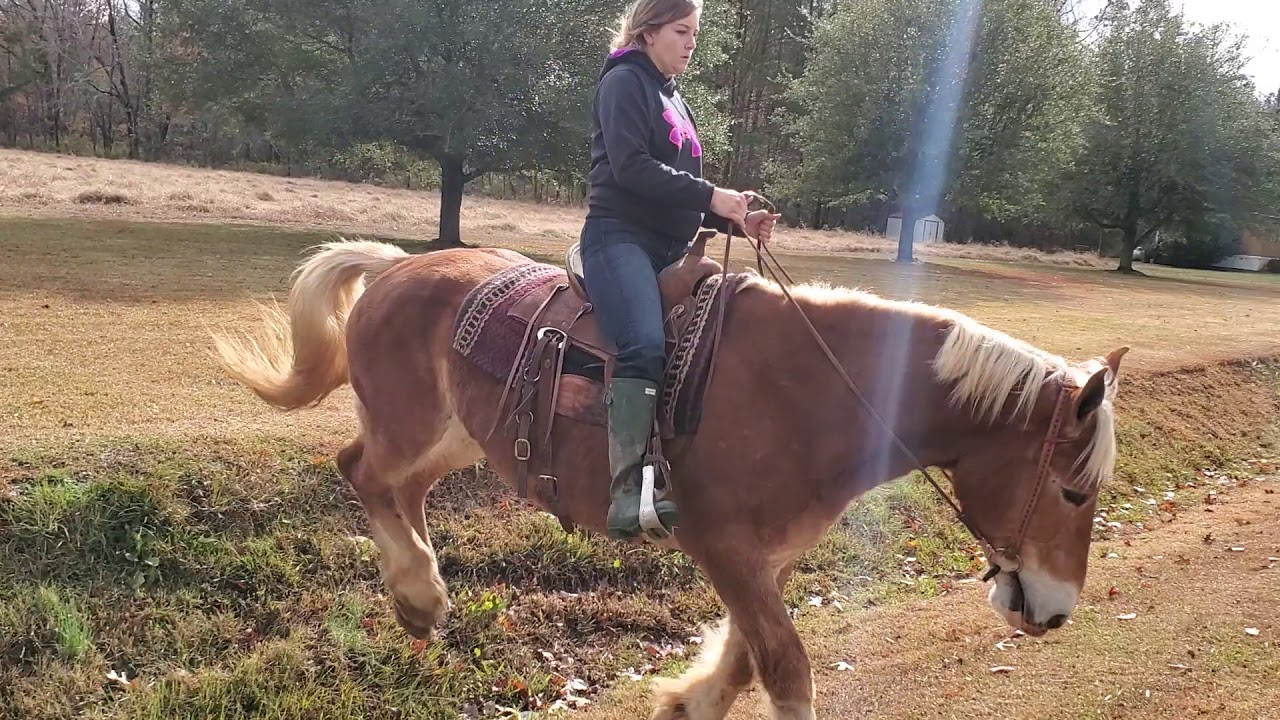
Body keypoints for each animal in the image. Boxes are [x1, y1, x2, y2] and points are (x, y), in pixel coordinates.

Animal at [213, 238, 1126, 720]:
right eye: (1074, 491)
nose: (1056, 611)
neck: (814, 390)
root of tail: (397, 268)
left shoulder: (767, 556)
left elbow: (750, 660)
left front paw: (687, 700)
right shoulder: (721, 543)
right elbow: (785, 666)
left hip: (458, 435)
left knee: (399, 490)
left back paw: (419, 601)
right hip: (409, 426)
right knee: (362, 472)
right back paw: (418, 591)